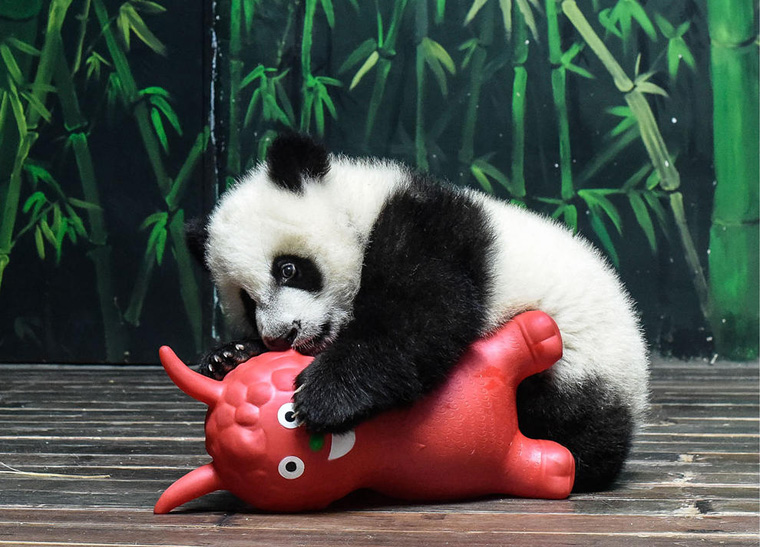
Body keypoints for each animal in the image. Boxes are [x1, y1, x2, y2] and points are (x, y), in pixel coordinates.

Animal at [186, 132, 649, 492]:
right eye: (246, 301)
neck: (358, 206)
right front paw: (229, 356)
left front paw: (322, 397)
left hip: (582, 363)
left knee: (573, 422)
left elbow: (423, 316)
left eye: (288, 269)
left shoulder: (425, 231)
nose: (281, 336)